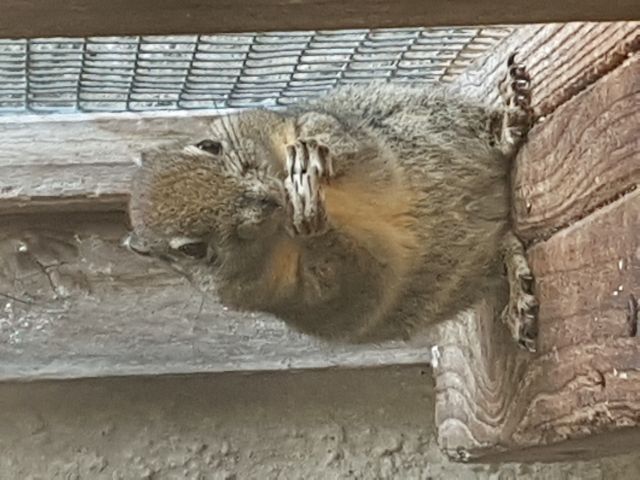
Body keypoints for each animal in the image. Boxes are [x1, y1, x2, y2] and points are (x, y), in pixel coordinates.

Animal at [125, 53, 540, 352]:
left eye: (209, 145)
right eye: (192, 250)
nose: (268, 200)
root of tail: (498, 198)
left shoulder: (322, 126)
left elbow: (329, 131)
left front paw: (312, 153)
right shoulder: (301, 300)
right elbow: (345, 280)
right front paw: (314, 228)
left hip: (427, 116)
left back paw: (508, 121)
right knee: (504, 246)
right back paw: (517, 295)